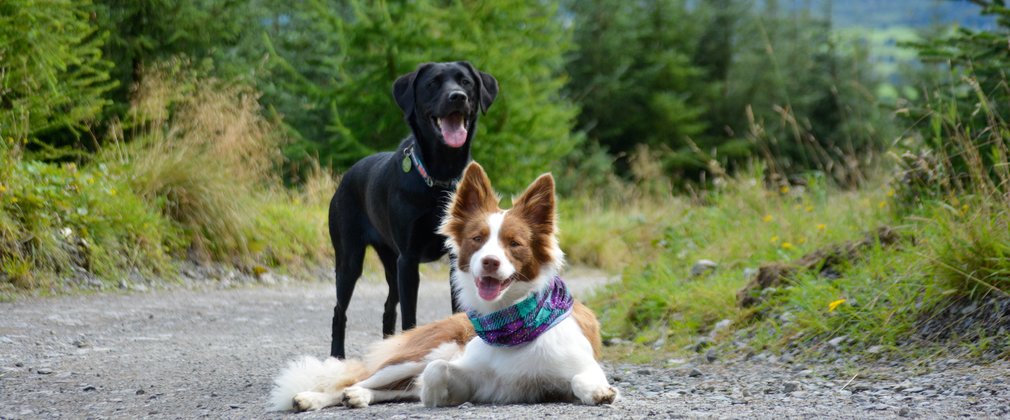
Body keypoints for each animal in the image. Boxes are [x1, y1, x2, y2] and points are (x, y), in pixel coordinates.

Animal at [270, 163, 614, 409]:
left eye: (514, 243)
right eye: (477, 239)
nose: (489, 262)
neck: (510, 319)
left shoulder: (579, 365)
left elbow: (583, 379)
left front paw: (599, 391)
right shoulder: (468, 373)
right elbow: (435, 372)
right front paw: (436, 394)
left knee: (388, 388)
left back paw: (357, 397)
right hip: (415, 352)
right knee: (361, 380)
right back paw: (316, 397)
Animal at [329, 61, 498, 357]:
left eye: (466, 82)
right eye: (432, 83)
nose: (457, 97)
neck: (440, 178)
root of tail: (344, 180)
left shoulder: (454, 258)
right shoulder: (408, 259)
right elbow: (410, 319)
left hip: (390, 264)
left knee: (388, 308)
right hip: (350, 260)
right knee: (340, 311)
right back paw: (337, 356)